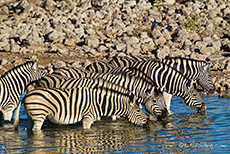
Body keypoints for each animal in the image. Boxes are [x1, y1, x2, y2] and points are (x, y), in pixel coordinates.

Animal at [13, 86, 149, 130]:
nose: (148, 123)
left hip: (31, 116)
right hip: (39, 114)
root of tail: (26, 96)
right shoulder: (87, 118)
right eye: (138, 111)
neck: (101, 103)